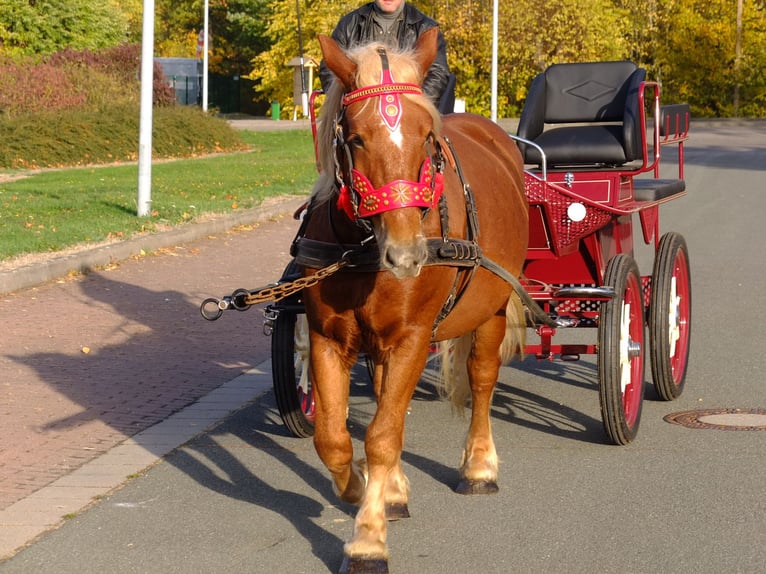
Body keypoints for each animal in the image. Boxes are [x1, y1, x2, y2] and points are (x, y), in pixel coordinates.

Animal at [292, 29, 528, 572]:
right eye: (356, 138)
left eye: (426, 138)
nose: (406, 254)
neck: (362, 252)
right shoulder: (327, 337)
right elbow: (333, 437)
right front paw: (361, 490)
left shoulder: (415, 338)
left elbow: (382, 436)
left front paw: (368, 538)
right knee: (383, 397)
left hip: (492, 309)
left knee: (481, 380)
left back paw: (479, 466)